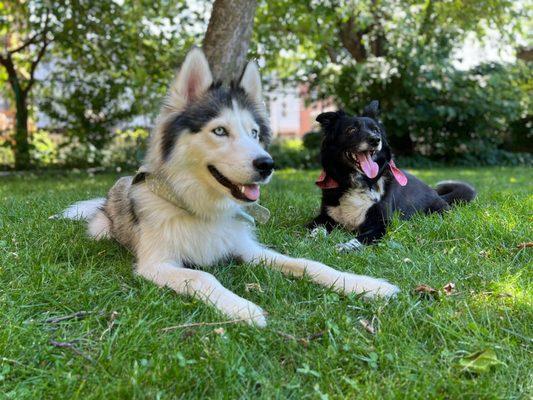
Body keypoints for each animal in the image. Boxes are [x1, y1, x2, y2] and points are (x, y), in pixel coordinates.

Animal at [59, 48, 400, 326]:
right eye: (220, 131)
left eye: (254, 133)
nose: (267, 165)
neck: (202, 208)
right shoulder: (156, 264)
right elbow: (203, 277)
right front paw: (243, 308)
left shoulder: (248, 249)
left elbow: (308, 264)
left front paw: (366, 285)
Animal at [306, 101, 476, 250]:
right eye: (351, 130)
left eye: (376, 130)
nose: (375, 140)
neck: (361, 183)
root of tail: (437, 195)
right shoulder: (324, 216)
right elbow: (316, 228)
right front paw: (312, 239)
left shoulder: (382, 224)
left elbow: (362, 238)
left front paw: (346, 246)